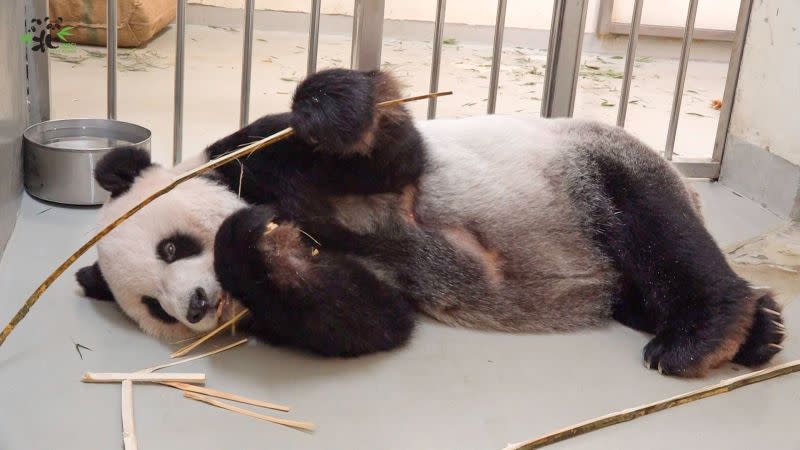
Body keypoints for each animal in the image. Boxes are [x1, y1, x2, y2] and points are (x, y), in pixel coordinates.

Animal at [76, 67, 780, 376]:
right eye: (156, 309)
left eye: (171, 247)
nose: (196, 305)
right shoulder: (301, 302)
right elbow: (367, 317)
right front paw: (261, 251)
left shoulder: (260, 158)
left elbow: (390, 155)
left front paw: (328, 109)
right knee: (641, 278)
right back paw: (760, 332)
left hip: (592, 169)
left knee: (659, 232)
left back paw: (706, 333)